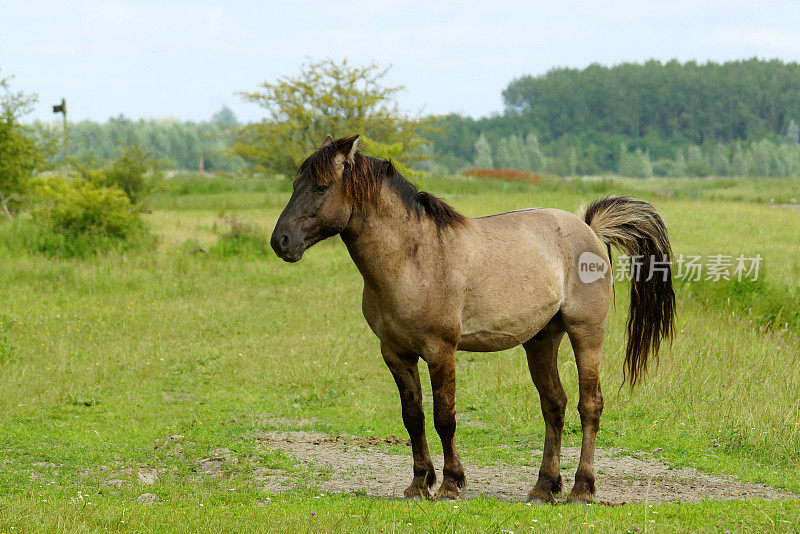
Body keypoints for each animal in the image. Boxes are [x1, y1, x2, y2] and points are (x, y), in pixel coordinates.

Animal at [270, 136, 676, 504]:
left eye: (321, 187)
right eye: (294, 184)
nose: (281, 241)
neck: (412, 259)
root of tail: (588, 228)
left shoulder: (440, 350)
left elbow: (444, 418)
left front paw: (450, 484)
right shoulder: (396, 354)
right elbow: (413, 417)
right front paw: (418, 484)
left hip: (586, 334)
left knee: (589, 405)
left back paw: (581, 489)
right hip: (541, 340)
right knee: (554, 405)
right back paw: (544, 488)